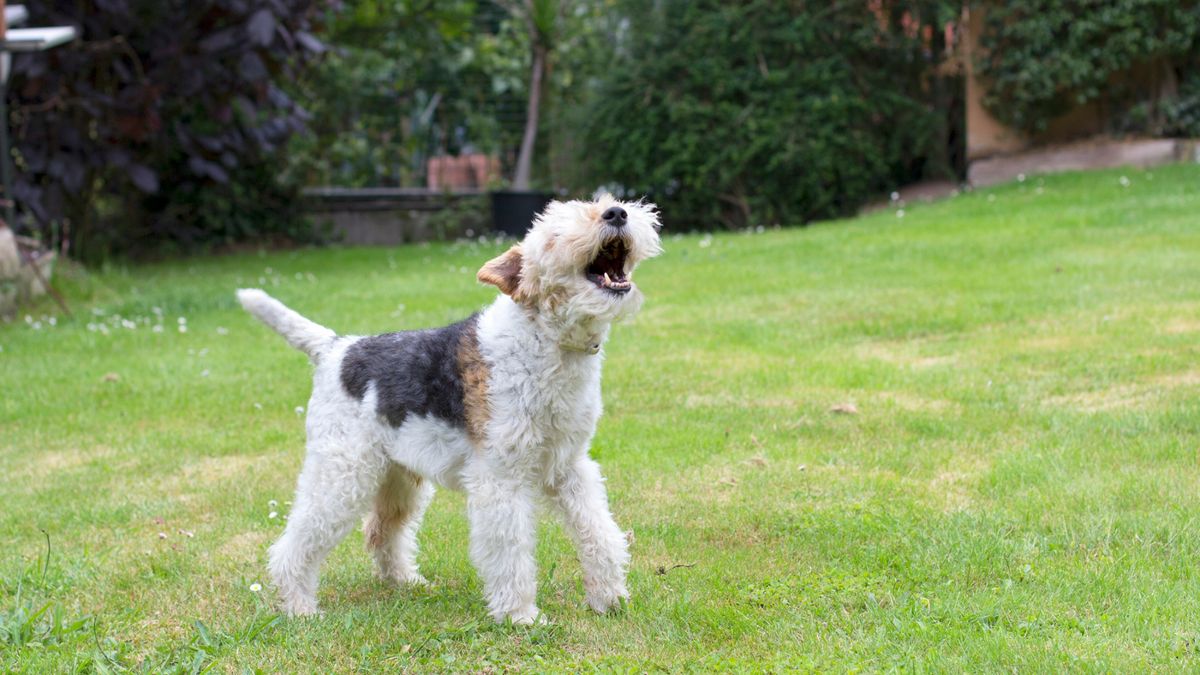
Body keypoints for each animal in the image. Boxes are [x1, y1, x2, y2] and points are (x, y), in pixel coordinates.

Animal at [234, 193, 667, 619]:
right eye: (554, 235)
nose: (617, 213)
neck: (546, 339)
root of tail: (335, 348)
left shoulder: (569, 466)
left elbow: (599, 532)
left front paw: (610, 599)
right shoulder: (500, 477)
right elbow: (510, 550)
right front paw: (521, 615)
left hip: (398, 477)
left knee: (381, 532)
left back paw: (406, 581)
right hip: (343, 474)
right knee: (294, 545)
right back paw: (300, 608)